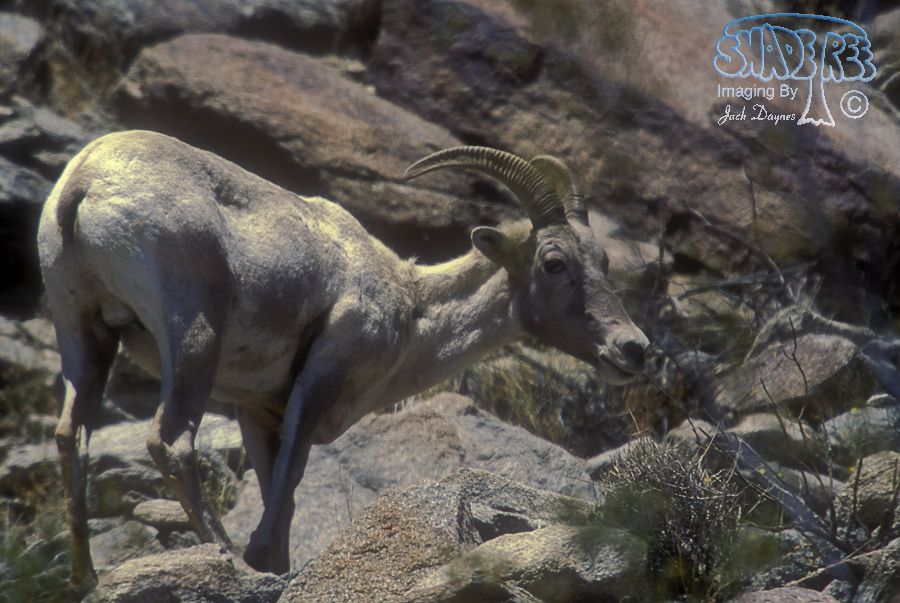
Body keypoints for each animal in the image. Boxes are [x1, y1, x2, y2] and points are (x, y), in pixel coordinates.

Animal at [37, 130, 650, 589]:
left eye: (603, 260)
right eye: (553, 262)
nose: (633, 348)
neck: (410, 305)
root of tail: (85, 182)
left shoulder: (258, 412)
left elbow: (278, 497)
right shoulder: (319, 381)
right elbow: (285, 493)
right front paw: (260, 565)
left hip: (84, 333)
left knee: (72, 433)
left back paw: (86, 577)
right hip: (193, 340)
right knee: (170, 442)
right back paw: (228, 561)